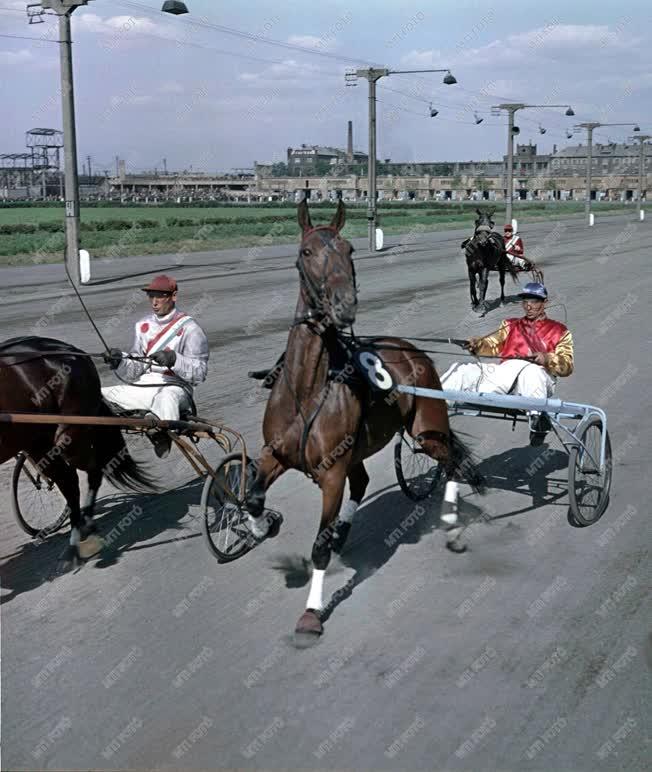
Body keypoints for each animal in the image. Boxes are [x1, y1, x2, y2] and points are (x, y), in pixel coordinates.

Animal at [0, 334, 154, 564]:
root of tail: (73, 350)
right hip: (37, 441)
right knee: (68, 479)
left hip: (68, 433)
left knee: (83, 475)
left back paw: (79, 535)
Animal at [243, 202, 484, 636]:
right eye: (306, 252)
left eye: (349, 249)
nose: (345, 304)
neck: (308, 388)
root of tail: (411, 350)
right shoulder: (277, 453)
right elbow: (252, 496)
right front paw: (261, 526)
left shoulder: (332, 473)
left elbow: (319, 548)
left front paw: (312, 612)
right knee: (366, 481)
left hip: (426, 431)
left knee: (451, 461)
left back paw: (452, 524)